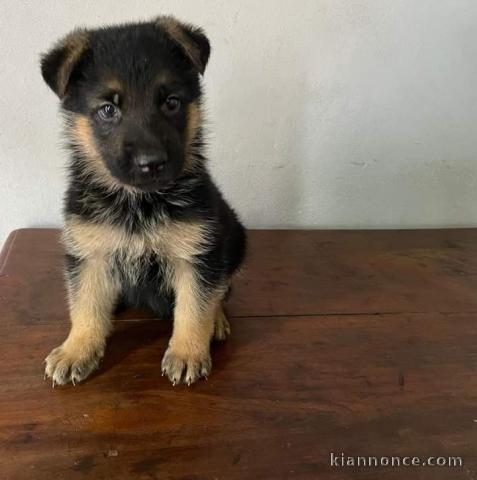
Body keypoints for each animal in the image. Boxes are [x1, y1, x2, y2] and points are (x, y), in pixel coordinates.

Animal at [41, 15, 245, 386]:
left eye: (171, 102)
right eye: (108, 109)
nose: (151, 162)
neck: (139, 202)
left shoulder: (197, 255)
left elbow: (194, 307)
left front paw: (187, 352)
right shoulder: (89, 255)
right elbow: (85, 306)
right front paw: (77, 349)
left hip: (234, 237)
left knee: (222, 288)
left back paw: (218, 319)